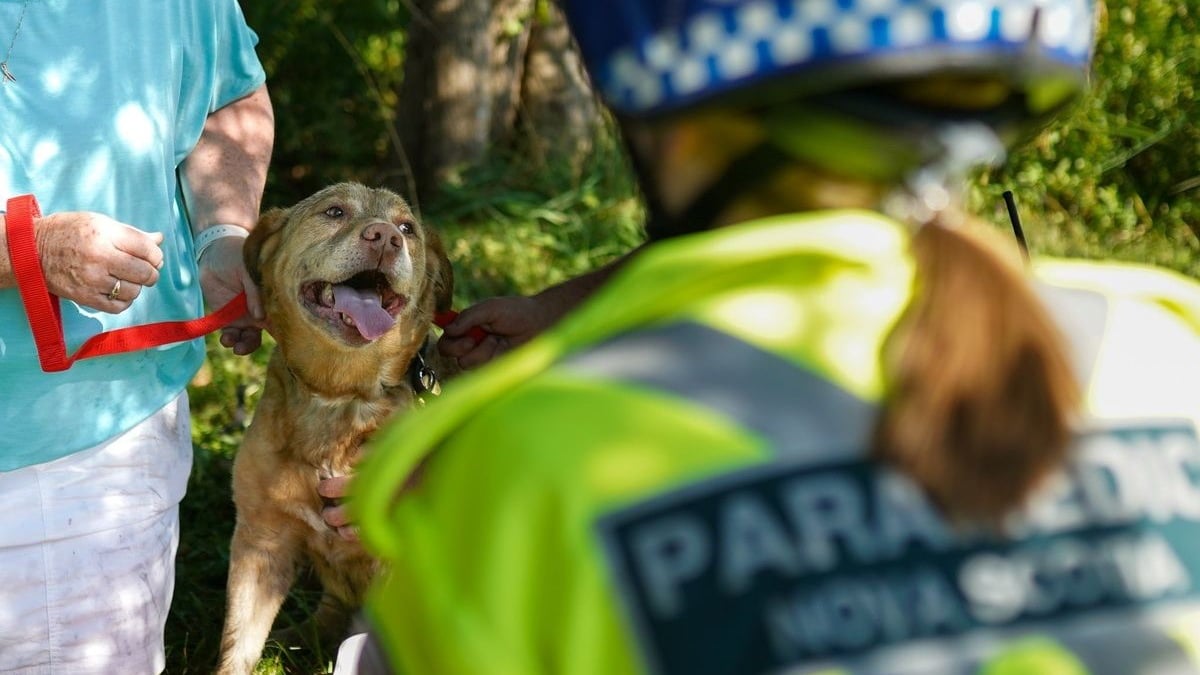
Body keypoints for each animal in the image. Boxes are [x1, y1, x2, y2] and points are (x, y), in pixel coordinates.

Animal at [216, 180, 453, 672]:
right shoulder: (259, 541)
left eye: (407, 228)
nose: (385, 237)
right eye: (335, 211)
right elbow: (237, 647)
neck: (340, 395)